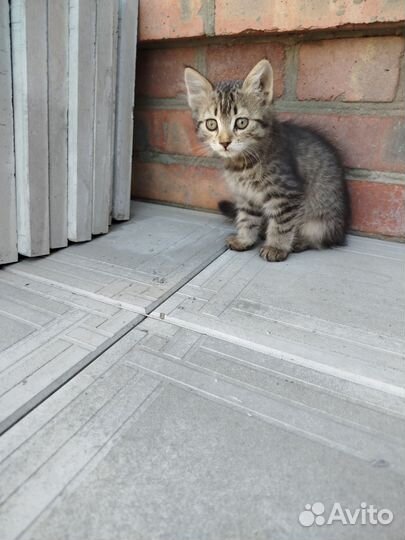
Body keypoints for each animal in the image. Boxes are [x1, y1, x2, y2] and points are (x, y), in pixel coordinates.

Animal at [185, 59, 348, 262]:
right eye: (211, 124)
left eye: (241, 122)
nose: (224, 142)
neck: (242, 164)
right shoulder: (247, 197)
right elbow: (247, 219)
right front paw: (244, 240)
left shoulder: (286, 194)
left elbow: (281, 224)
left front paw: (276, 247)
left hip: (323, 220)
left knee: (322, 239)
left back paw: (299, 241)